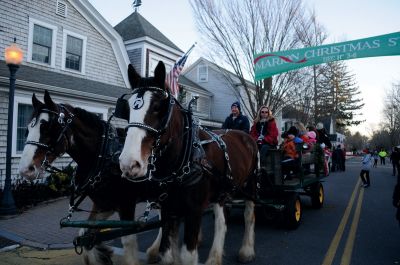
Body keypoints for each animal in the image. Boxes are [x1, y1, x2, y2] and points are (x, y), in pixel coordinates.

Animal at [18, 89, 162, 262]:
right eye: (27, 129)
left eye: (47, 127)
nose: (25, 170)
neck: (105, 155)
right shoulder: (103, 204)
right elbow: (85, 235)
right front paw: (103, 253)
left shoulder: (126, 204)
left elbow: (128, 243)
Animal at [118, 60, 260, 262]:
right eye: (128, 108)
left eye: (157, 107)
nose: (129, 163)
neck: (183, 160)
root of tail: (246, 136)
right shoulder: (169, 208)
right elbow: (167, 252)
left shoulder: (193, 211)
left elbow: (187, 255)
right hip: (222, 190)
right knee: (221, 221)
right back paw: (215, 257)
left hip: (250, 185)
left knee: (249, 215)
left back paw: (246, 250)